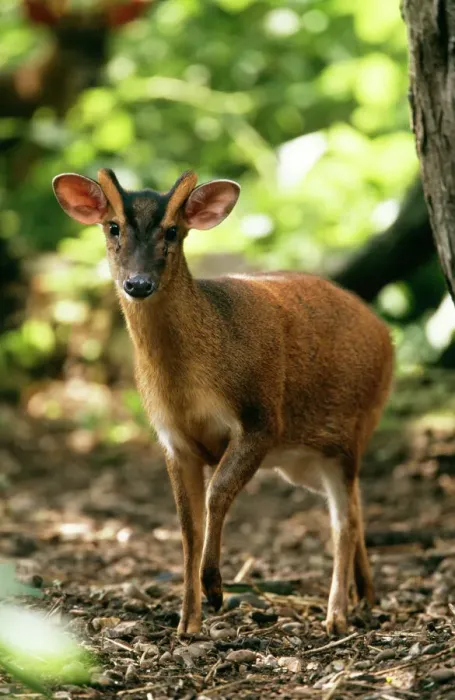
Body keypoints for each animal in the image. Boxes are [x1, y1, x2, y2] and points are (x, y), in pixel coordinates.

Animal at [52, 168, 394, 636]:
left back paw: (336, 615)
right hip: (305, 460)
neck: (187, 386)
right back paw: (366, 597)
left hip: (351, 430)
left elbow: (217, 494)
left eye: (173, 231)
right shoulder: (173, 439)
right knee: (355, 508)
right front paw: (187, 623)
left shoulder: (261, 418)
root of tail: (387, 337)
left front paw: (214, 589)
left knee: (345, 521)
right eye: (113, 226)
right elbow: (187, 528)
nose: (137, 284)